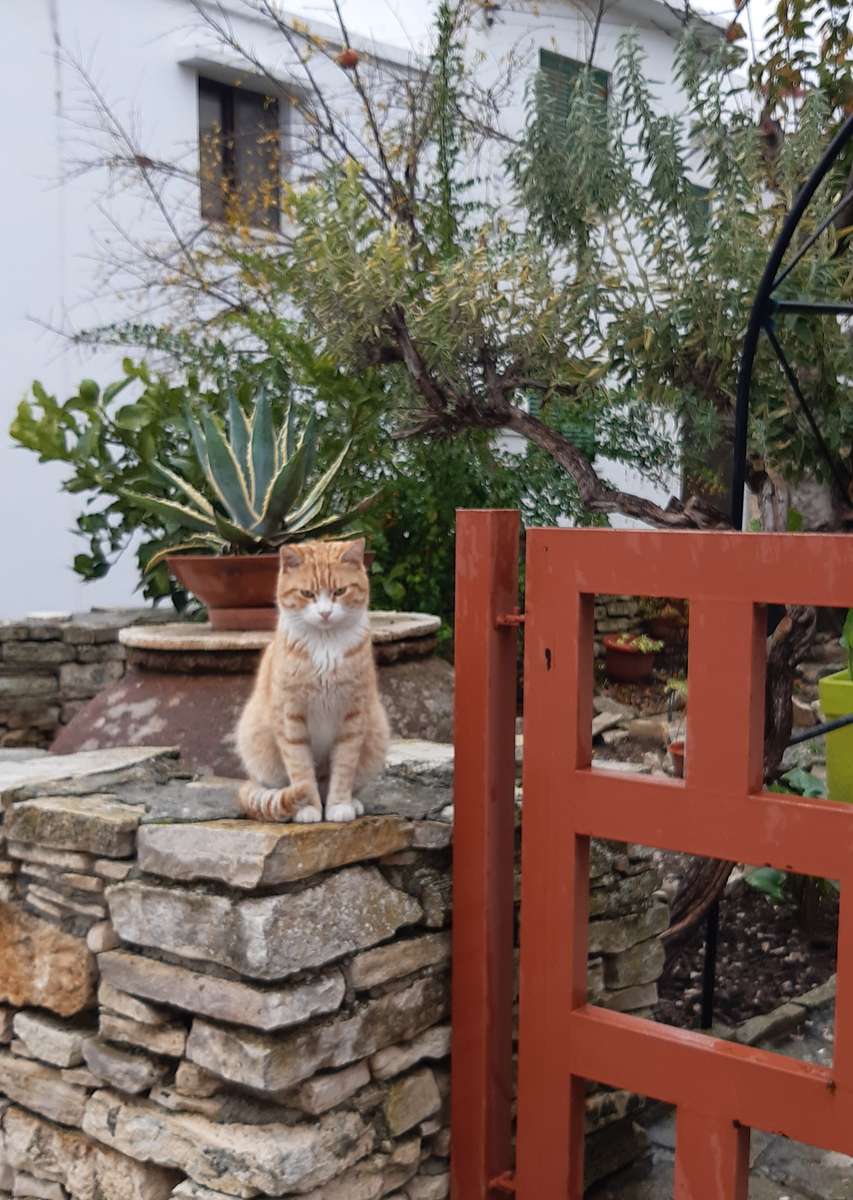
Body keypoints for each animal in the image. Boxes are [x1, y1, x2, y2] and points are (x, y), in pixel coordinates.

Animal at [236, 537, 391, 825]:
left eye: (340, 591)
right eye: (307, 594)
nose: (325, 613)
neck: (325, 646)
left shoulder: (353, 718)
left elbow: (344, 769)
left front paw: (339, 806)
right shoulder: (290, 718)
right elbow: (301, 771)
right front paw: (307, 807)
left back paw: (351, 803)